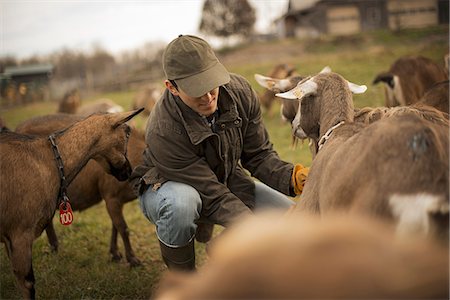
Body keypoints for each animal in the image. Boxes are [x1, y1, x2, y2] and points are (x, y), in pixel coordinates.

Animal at [0, 108, 143, 298]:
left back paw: (54, 247)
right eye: (127, 134)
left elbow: (115, 226)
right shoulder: (19, 234)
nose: (127, 171)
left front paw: (115, 254)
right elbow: (123, 228)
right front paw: (133, 260)